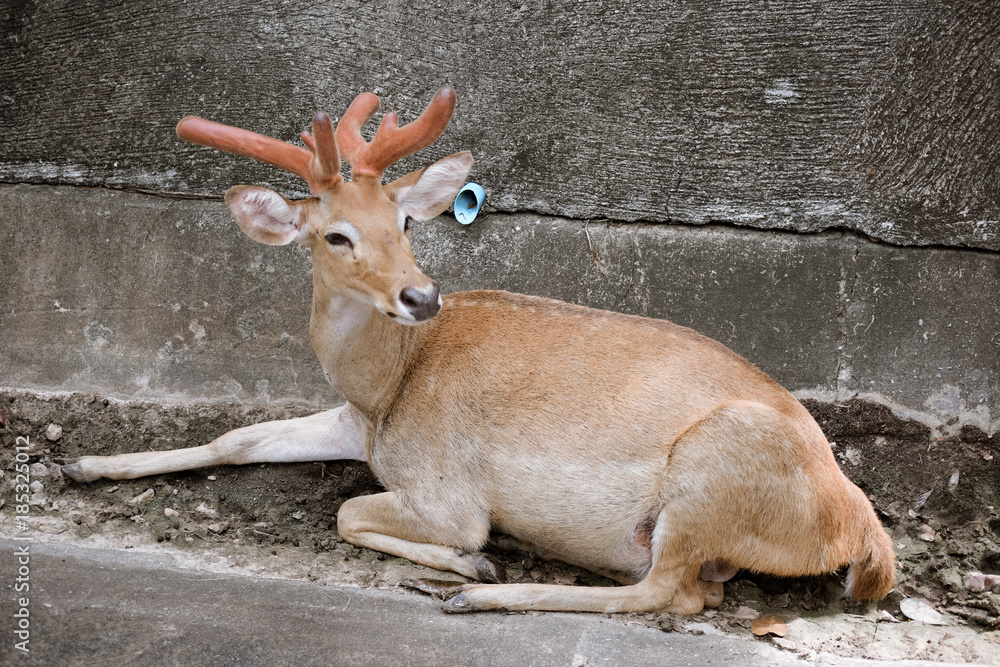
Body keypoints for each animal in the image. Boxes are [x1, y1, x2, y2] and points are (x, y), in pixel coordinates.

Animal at [62, 87, 895, 614]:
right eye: (336, 235)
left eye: (405, 220)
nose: (420, 296)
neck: (390, 383)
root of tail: (861, 526)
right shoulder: (359, 422)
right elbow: (237, 437)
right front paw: (84, 463)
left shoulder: (447, 490)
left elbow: (351, 512)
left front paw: (474, 557)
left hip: (715, 469)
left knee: (677, 592)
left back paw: (476, 592)